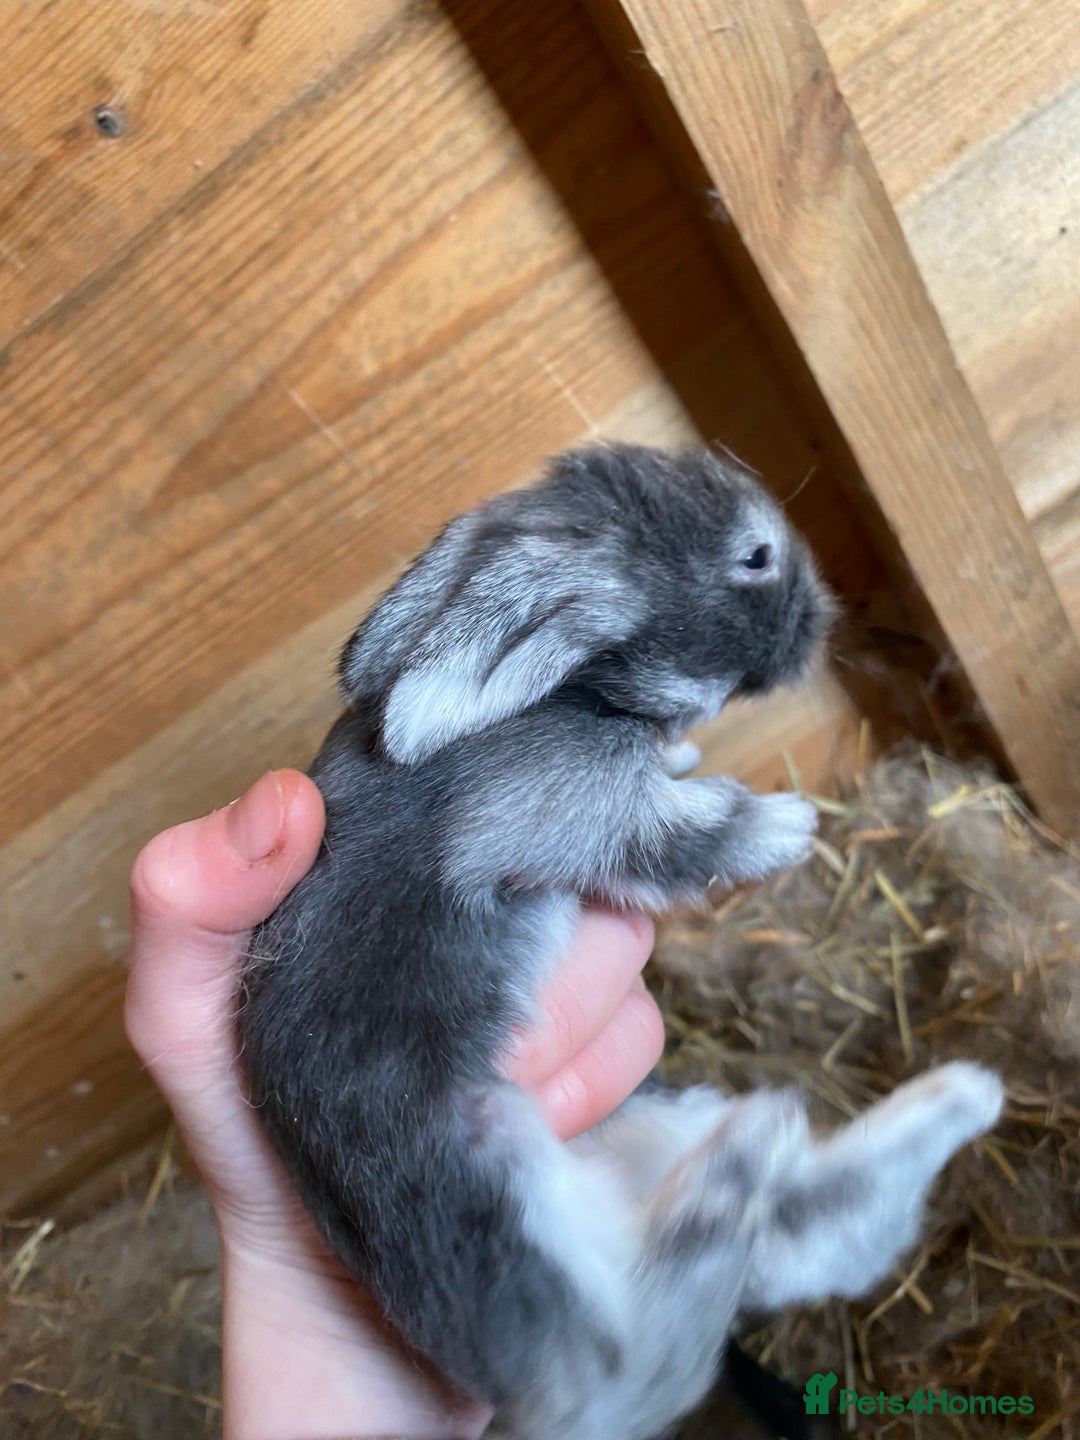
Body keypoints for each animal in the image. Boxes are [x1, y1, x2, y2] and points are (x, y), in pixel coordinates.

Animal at [238, 444, 1004, 1440]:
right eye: (755, 555)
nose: (823, 611)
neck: (575, 691)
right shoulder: (572, 810)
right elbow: (681, 833)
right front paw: (786, 827)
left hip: (657, 1124)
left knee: (802, 1233)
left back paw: (955, 1097)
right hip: (500, 1181)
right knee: (632, 1368)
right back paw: (741, 1167)